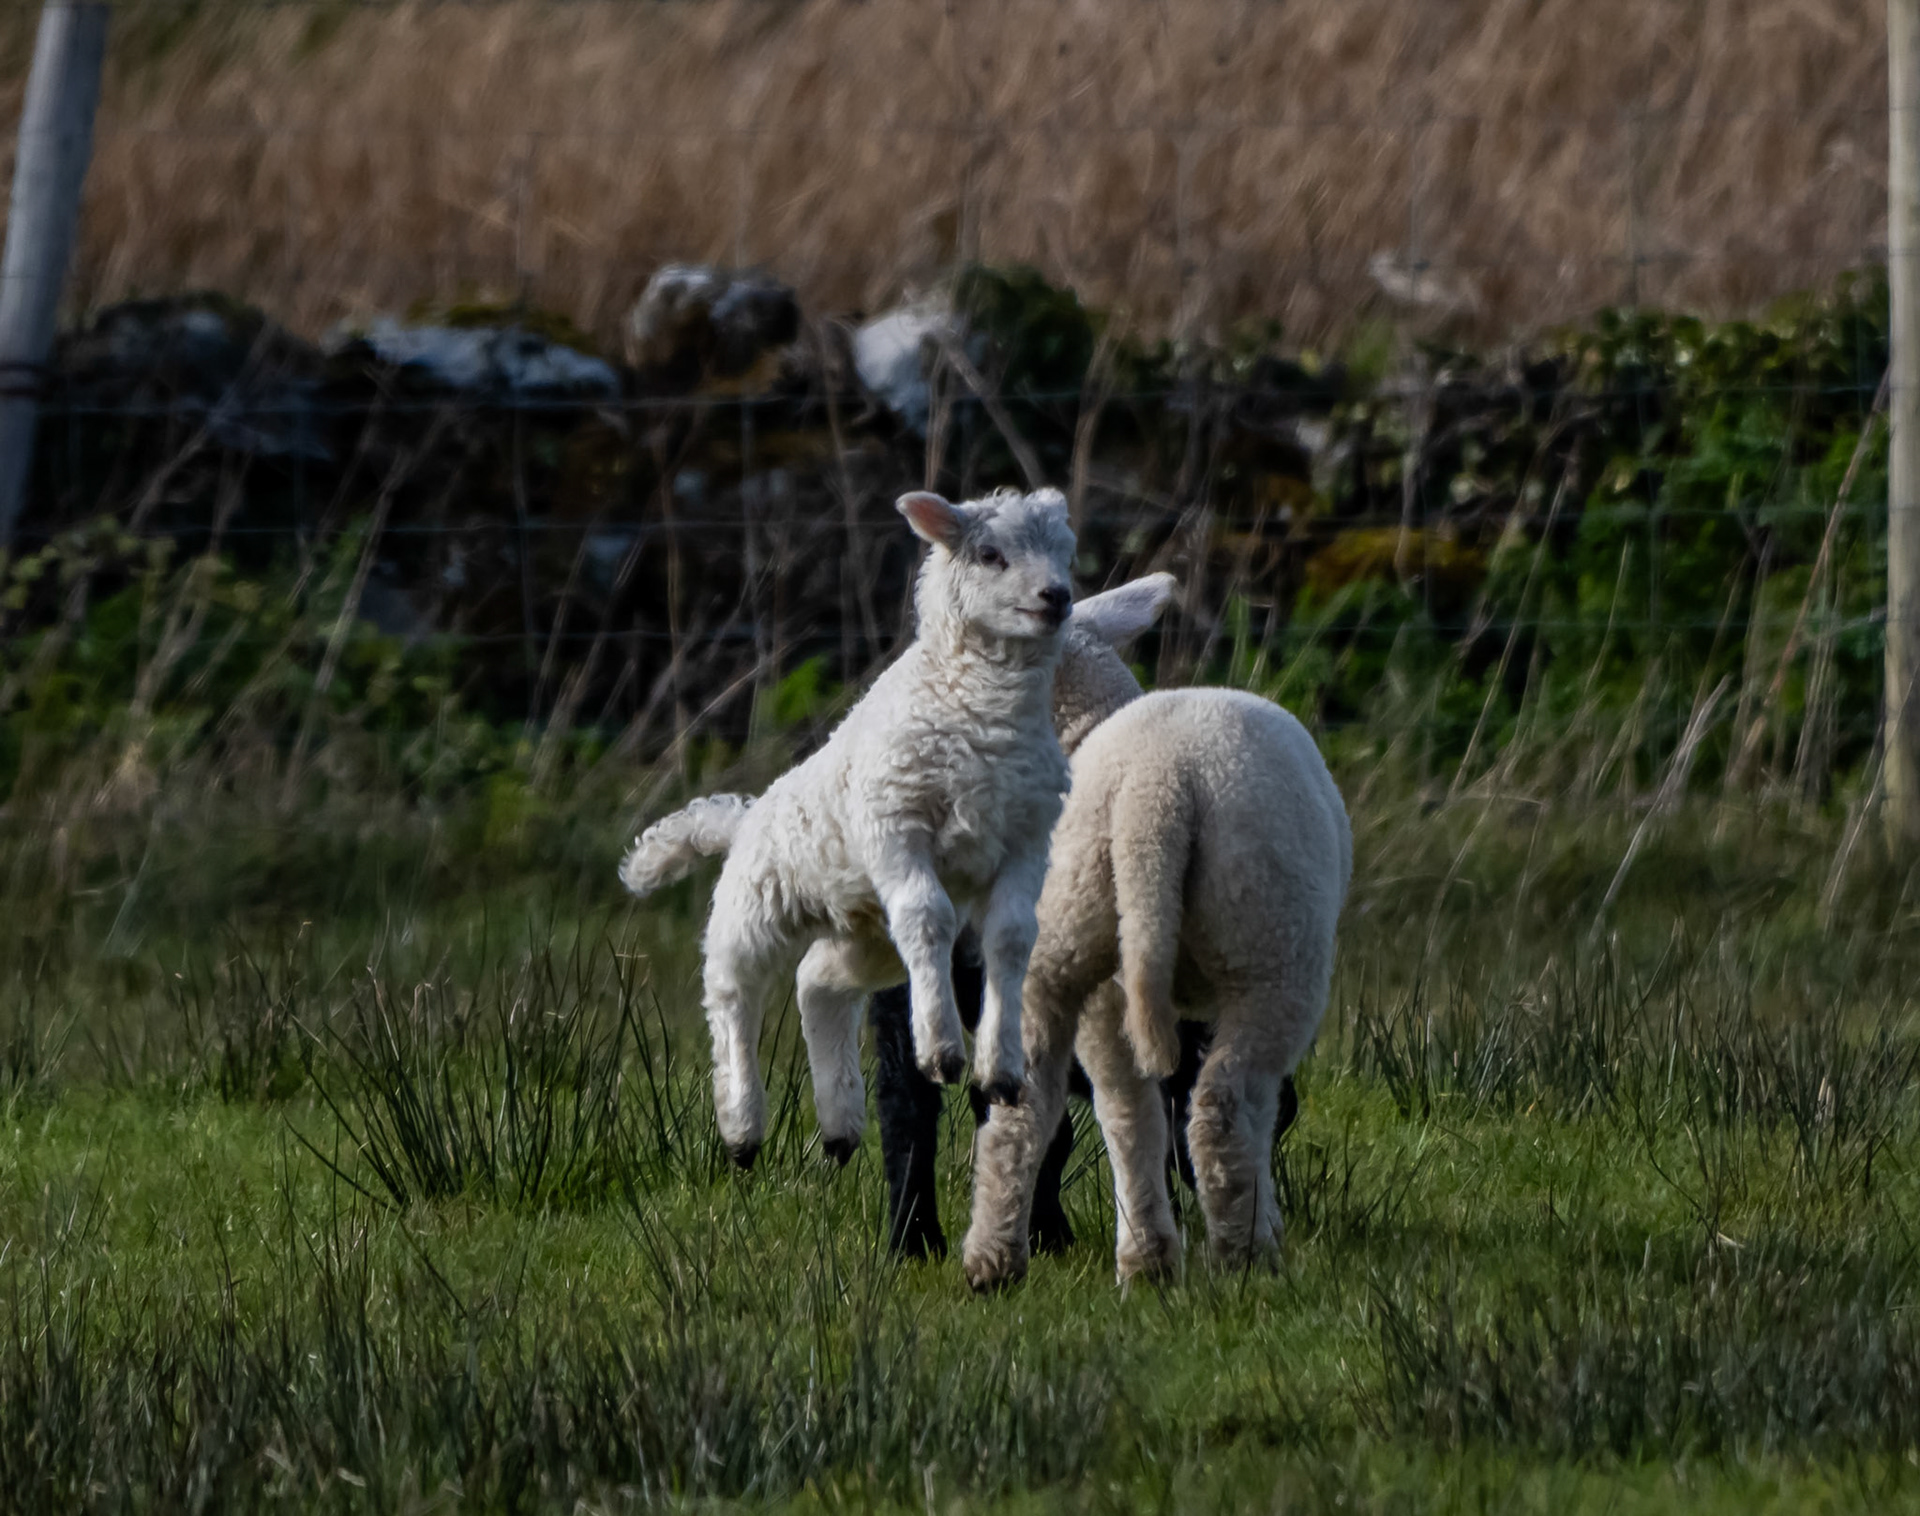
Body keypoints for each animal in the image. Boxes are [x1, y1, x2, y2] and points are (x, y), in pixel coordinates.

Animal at [619, 487, 1077, 1168]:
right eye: (991, 555)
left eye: (1065, 552)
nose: (1057, 596)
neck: (983, 714)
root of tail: (744, 817)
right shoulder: (897, 827)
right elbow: (929, 916)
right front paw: (942, 1053)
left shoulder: (1025, 838)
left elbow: (1013, 937)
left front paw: (1001, 1070)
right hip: (755, 904)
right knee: (731, 992)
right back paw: (742, 1128)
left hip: (867, 933)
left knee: (818, 985)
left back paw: (839, 1127)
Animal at [959, 612, 1352, 1289]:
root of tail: (1155, 795)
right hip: (1273, 947)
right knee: (1224, 1105)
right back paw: (1247, 1258)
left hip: (1069, 940)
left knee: (1064, 1107)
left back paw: (1055, 1261)